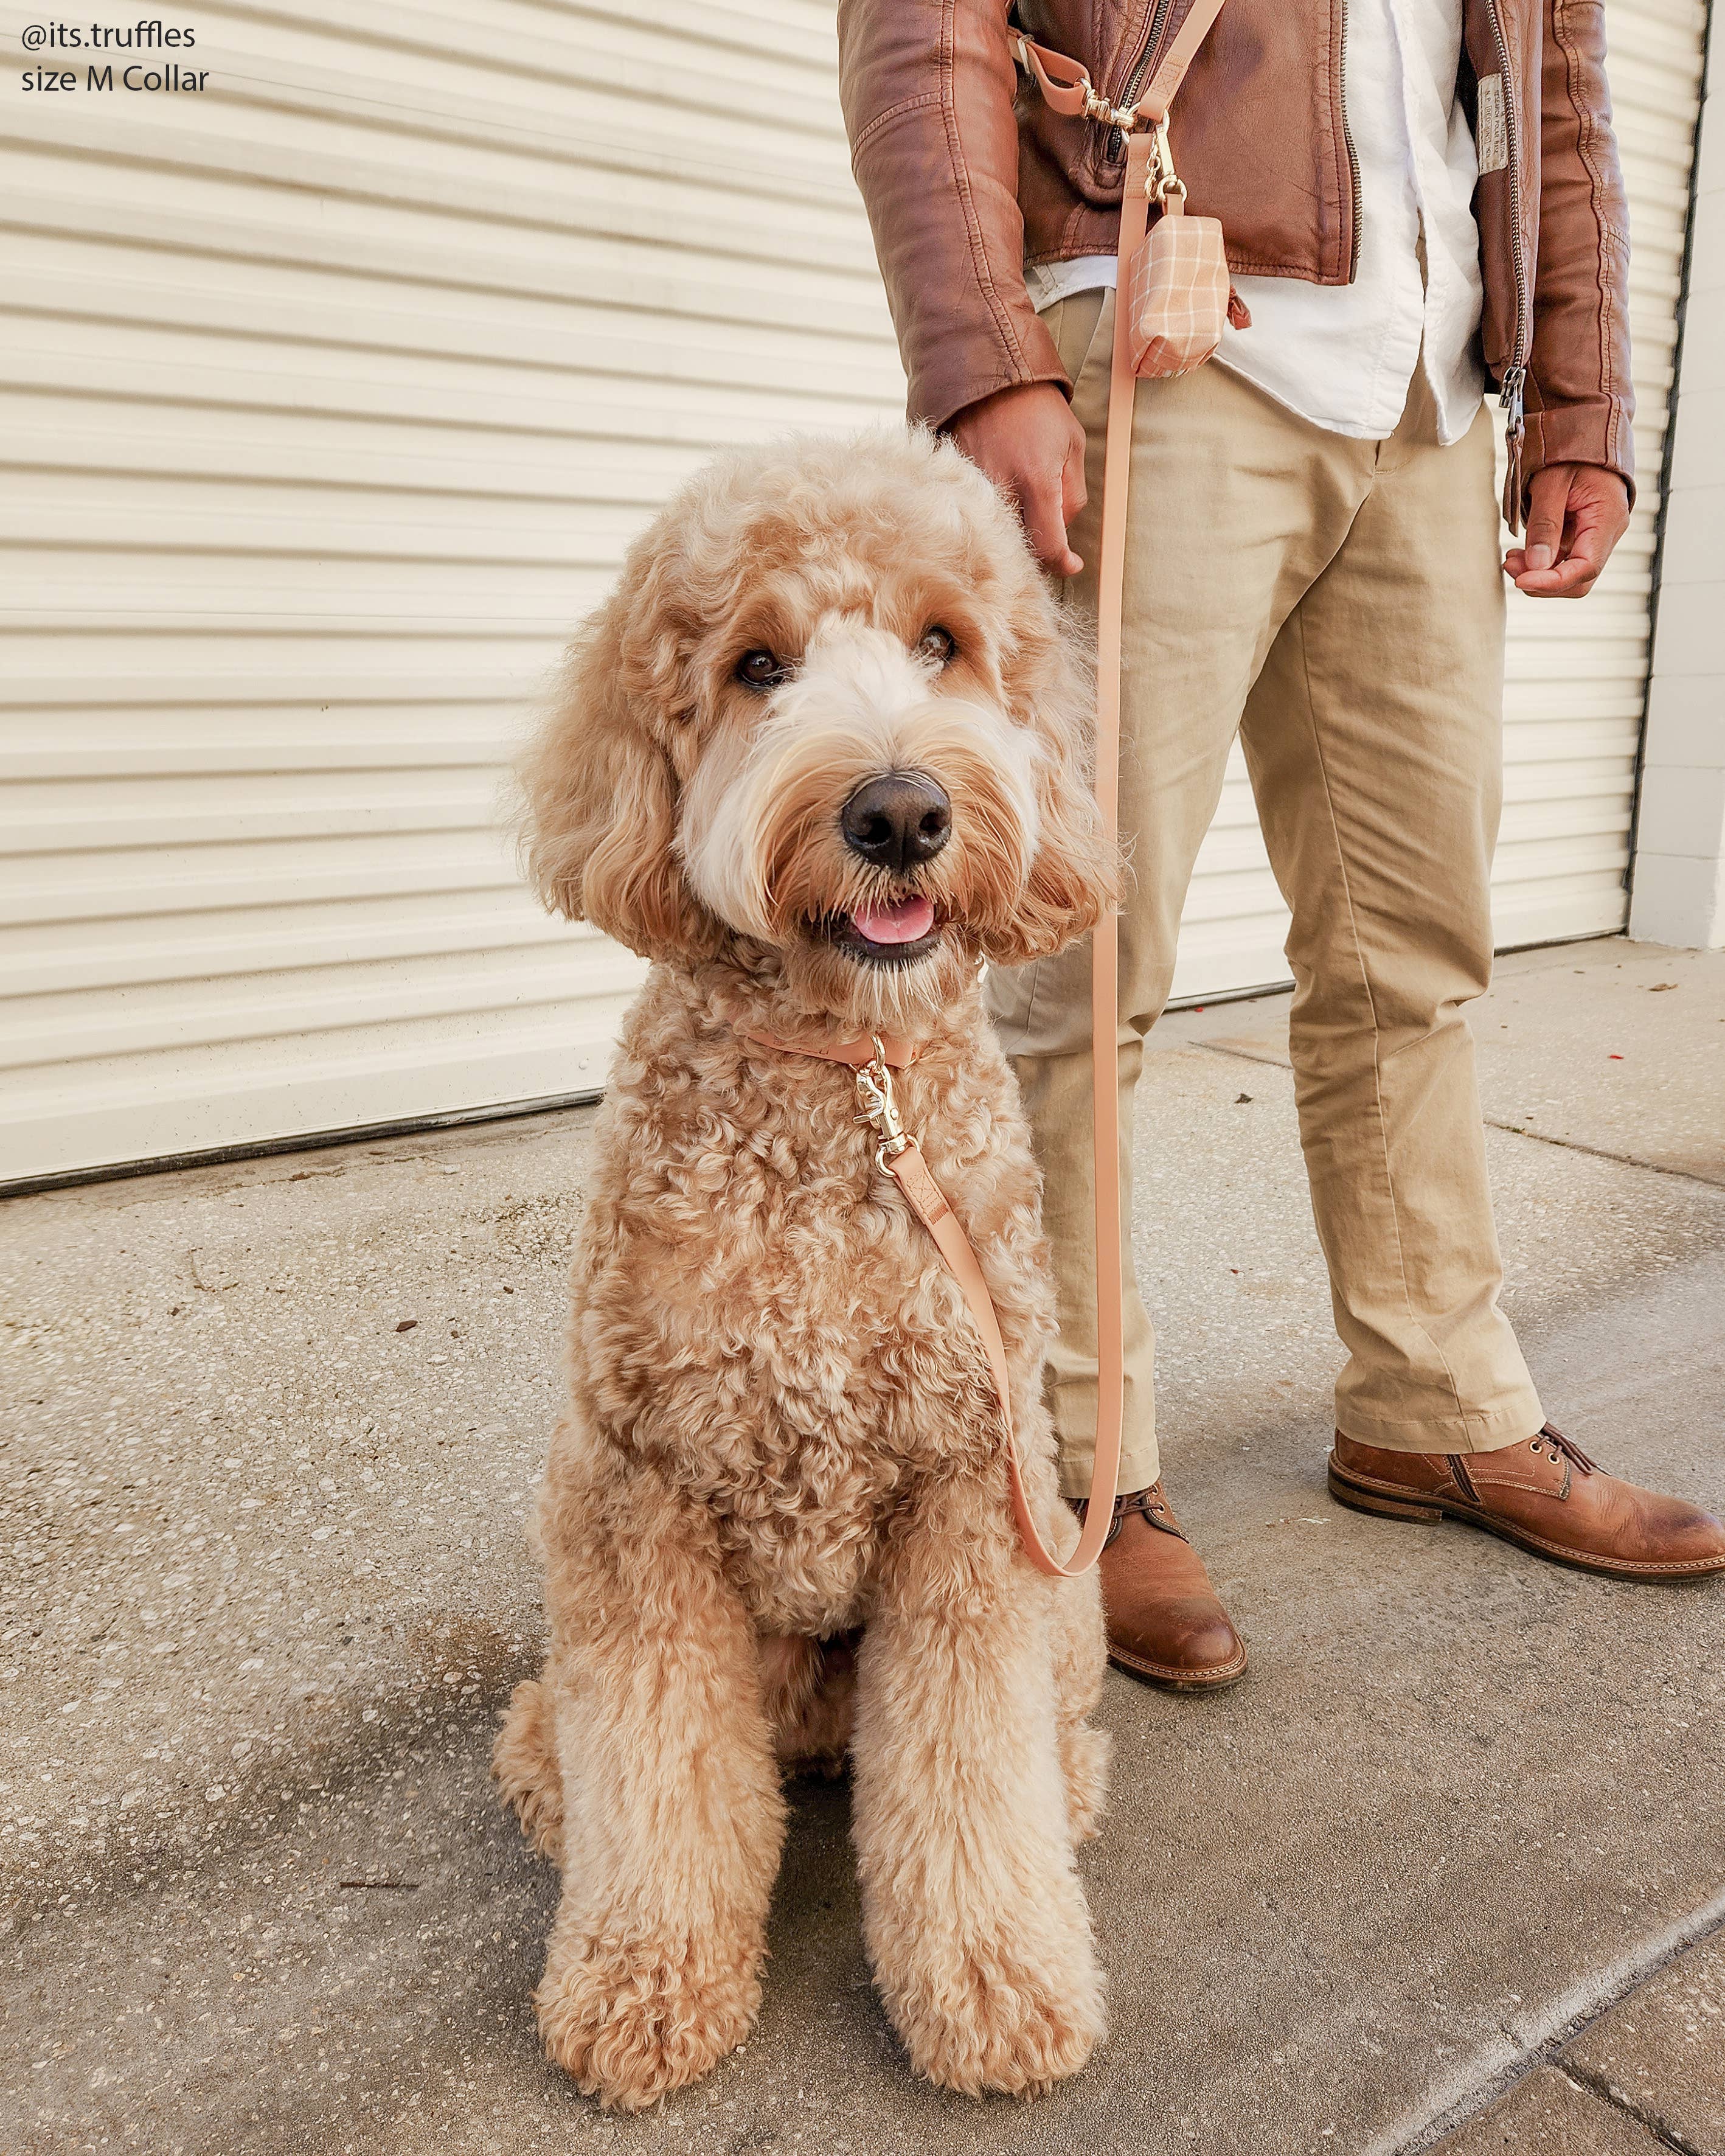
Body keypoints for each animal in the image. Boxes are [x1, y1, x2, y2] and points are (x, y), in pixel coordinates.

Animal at [491, 429, 1121, 2113]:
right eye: (756, 665)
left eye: (943, 643)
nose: (899, 812)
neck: (847, 1080)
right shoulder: (634, 1495)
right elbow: (658, 1776)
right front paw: (645, 1982)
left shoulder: (970, 1496)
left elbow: (967, 1771)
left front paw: (997, 1982)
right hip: (566, 1702)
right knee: (583, 1765)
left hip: (1055, 1578)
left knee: (1035, 1744)